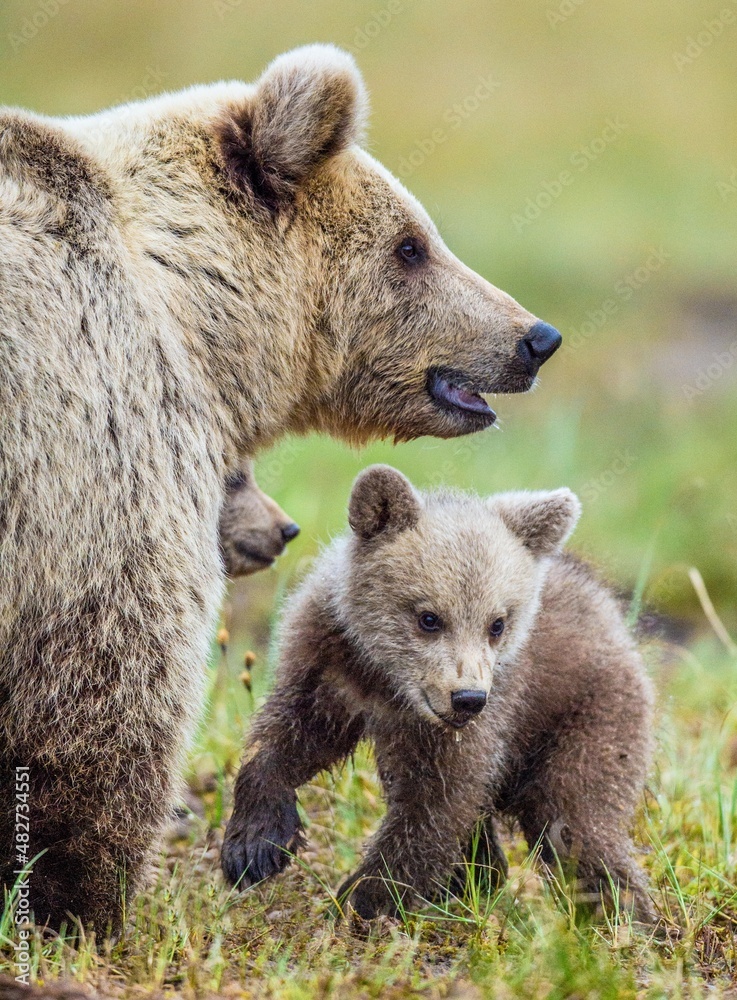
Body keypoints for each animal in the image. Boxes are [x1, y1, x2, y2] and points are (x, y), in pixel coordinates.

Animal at [0, 45, 562, 933]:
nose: (534, 338)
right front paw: (77, 899)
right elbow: (107, 675)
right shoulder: (89, 430)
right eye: (411, 246)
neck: (185, 305)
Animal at [221, 466, 655, 923]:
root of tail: (615, 618)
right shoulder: (330, 662)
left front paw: (364, 897)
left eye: (497, 623)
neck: (388, 682)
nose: (467, 698)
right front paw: (254, 846)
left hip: (589, 713)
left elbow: (438, 802)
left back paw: (625, 915)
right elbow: (292, 737)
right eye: (429, 617)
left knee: (575, 820)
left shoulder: (492, 709)